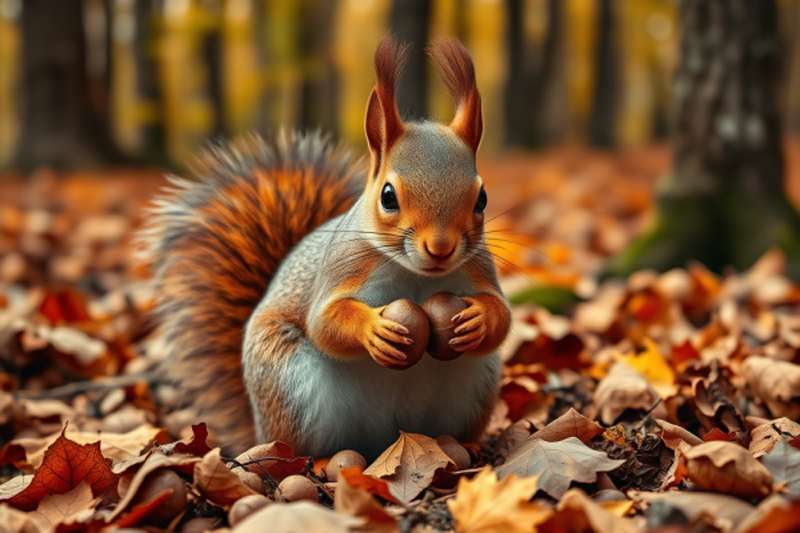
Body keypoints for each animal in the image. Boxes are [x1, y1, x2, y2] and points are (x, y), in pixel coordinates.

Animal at [142, 37, 511, 459]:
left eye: (482, 198)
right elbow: (325, 322)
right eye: (388, 196)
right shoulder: (342, 269)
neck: (414, 273)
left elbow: (502, 315)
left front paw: (479, 318)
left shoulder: (478, 268)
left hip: (475, 385)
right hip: (292, 385)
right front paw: (373, 329)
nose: (441, 247)